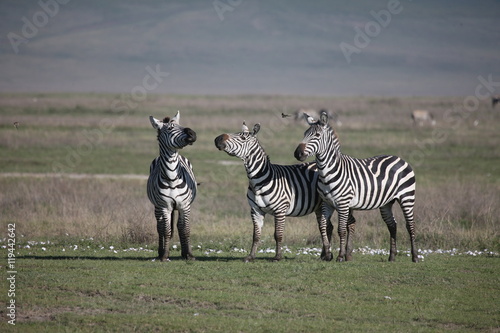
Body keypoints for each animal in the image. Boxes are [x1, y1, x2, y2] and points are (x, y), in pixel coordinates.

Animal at [146, 111, 197, 262]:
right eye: (169, 129)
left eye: (180, 125)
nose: (192, 133)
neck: (172, 177)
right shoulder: (165, 206)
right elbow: (166, 230)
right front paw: (165, 255)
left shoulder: (184, 205)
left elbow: (185, 229)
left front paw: (189, 254)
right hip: (157, 207)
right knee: (160, 227)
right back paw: (160, 251)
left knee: (179, 226)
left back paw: (184, 252)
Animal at [214, 120, 334, 260]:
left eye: (243, 138)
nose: (218, 139)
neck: (258, 181)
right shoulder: (255, 210)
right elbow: (256, 236)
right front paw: (251, 256)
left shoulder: (280, 210)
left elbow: (278, 235)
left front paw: (278, 257)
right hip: (319, 207)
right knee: (327, 227)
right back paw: (325, 255)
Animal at [292, 111, 418, 262]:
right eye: (305, 133)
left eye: (316, 135)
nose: (297, 153)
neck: (327, 171)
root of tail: (400, 159)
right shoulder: (327, 203)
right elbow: (323, 226)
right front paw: (327, 254)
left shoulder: (343, 204)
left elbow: (341, 229)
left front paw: (340, 256)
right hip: (386, 202)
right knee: (392, 225)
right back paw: (392, 256)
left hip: (407, 197)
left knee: (410, 225)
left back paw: (415, 257)